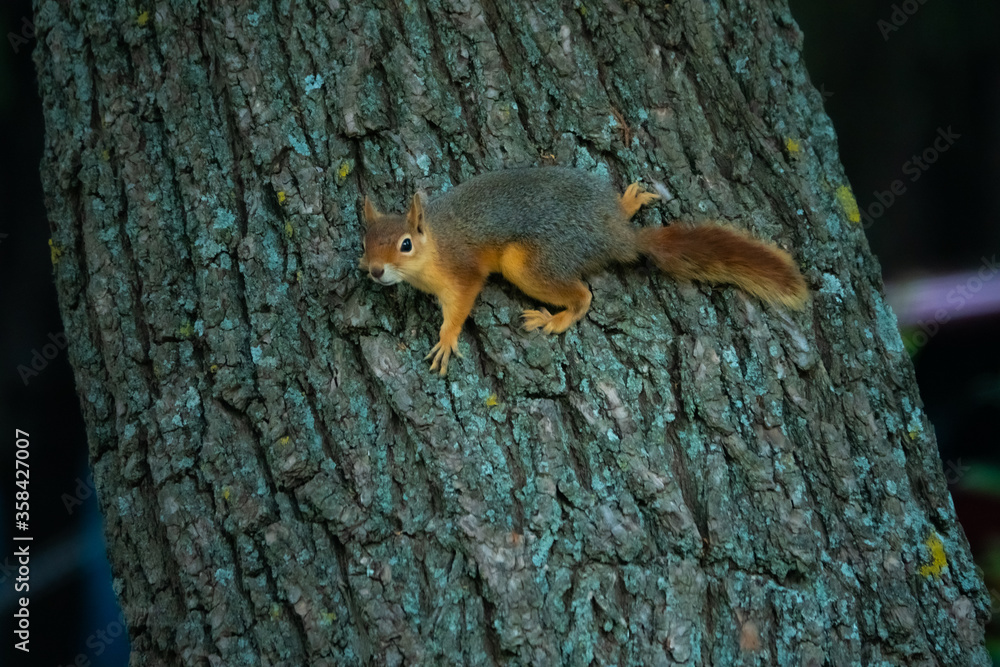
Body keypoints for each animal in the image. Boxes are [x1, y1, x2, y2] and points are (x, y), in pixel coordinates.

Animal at [356, 167, 808, 376]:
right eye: (365, 242)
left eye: (405, 245)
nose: (374, 271)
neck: (434, 244)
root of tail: (613, 236)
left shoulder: (461, 270)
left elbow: (462, 301)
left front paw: (447, 340)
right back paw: (627, 202)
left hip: (530, 263)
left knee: (584, 296)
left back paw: (554, 319)